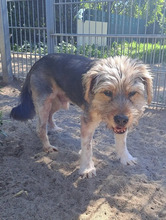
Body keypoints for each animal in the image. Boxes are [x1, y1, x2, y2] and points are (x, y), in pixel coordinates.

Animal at [10, 54, 153, 178]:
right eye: (107, 92)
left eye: (133, 93)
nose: (121, 119)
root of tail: (38, 61)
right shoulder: (87, 121)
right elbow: (87, 146)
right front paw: (87, 168)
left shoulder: (123, 123)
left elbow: (122, 141)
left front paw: (125, 158)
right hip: (44, 103)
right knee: (40, 127)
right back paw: (47, 147)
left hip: (60, 103)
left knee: (50, 115)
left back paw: (54, 128)